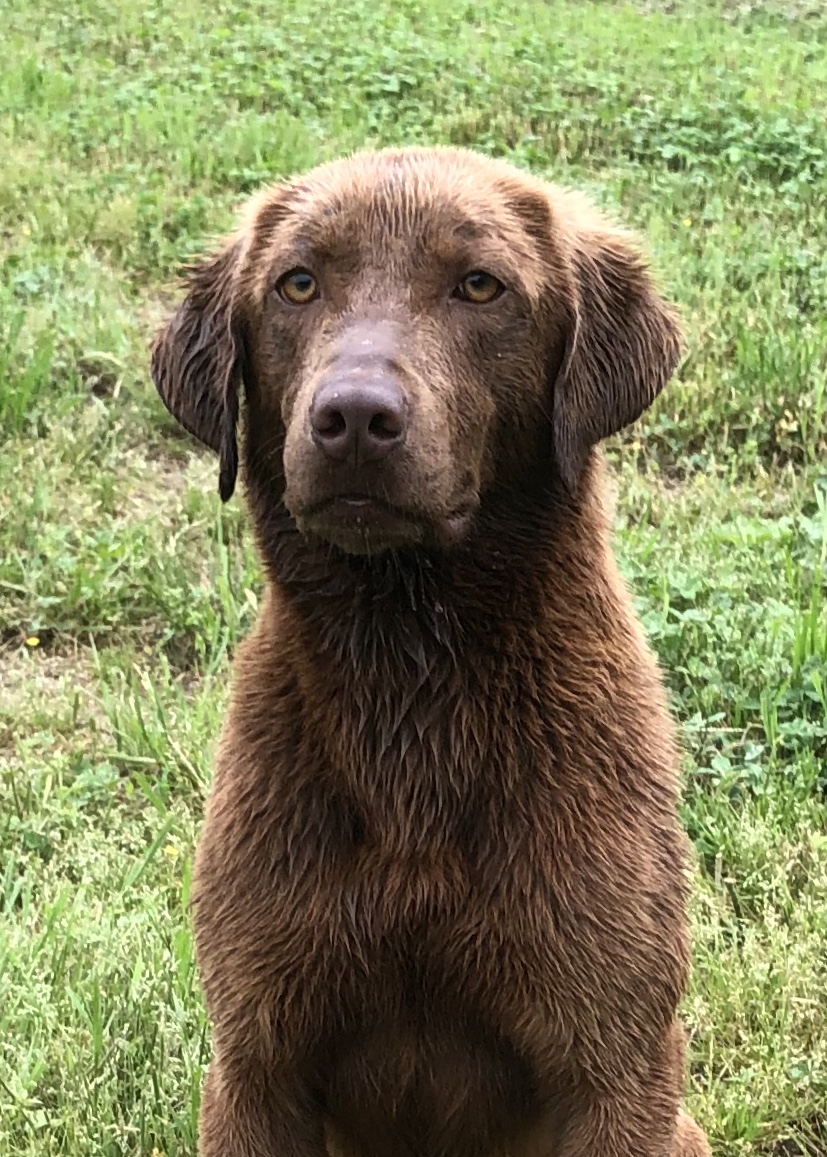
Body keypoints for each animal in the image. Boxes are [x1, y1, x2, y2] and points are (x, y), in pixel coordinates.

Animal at [150, 149, 712, 1152]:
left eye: (479, 286)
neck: (410, 682)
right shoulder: (256, 1061)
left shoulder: (616, 1066)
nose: (353, 417)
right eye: (297, 283)